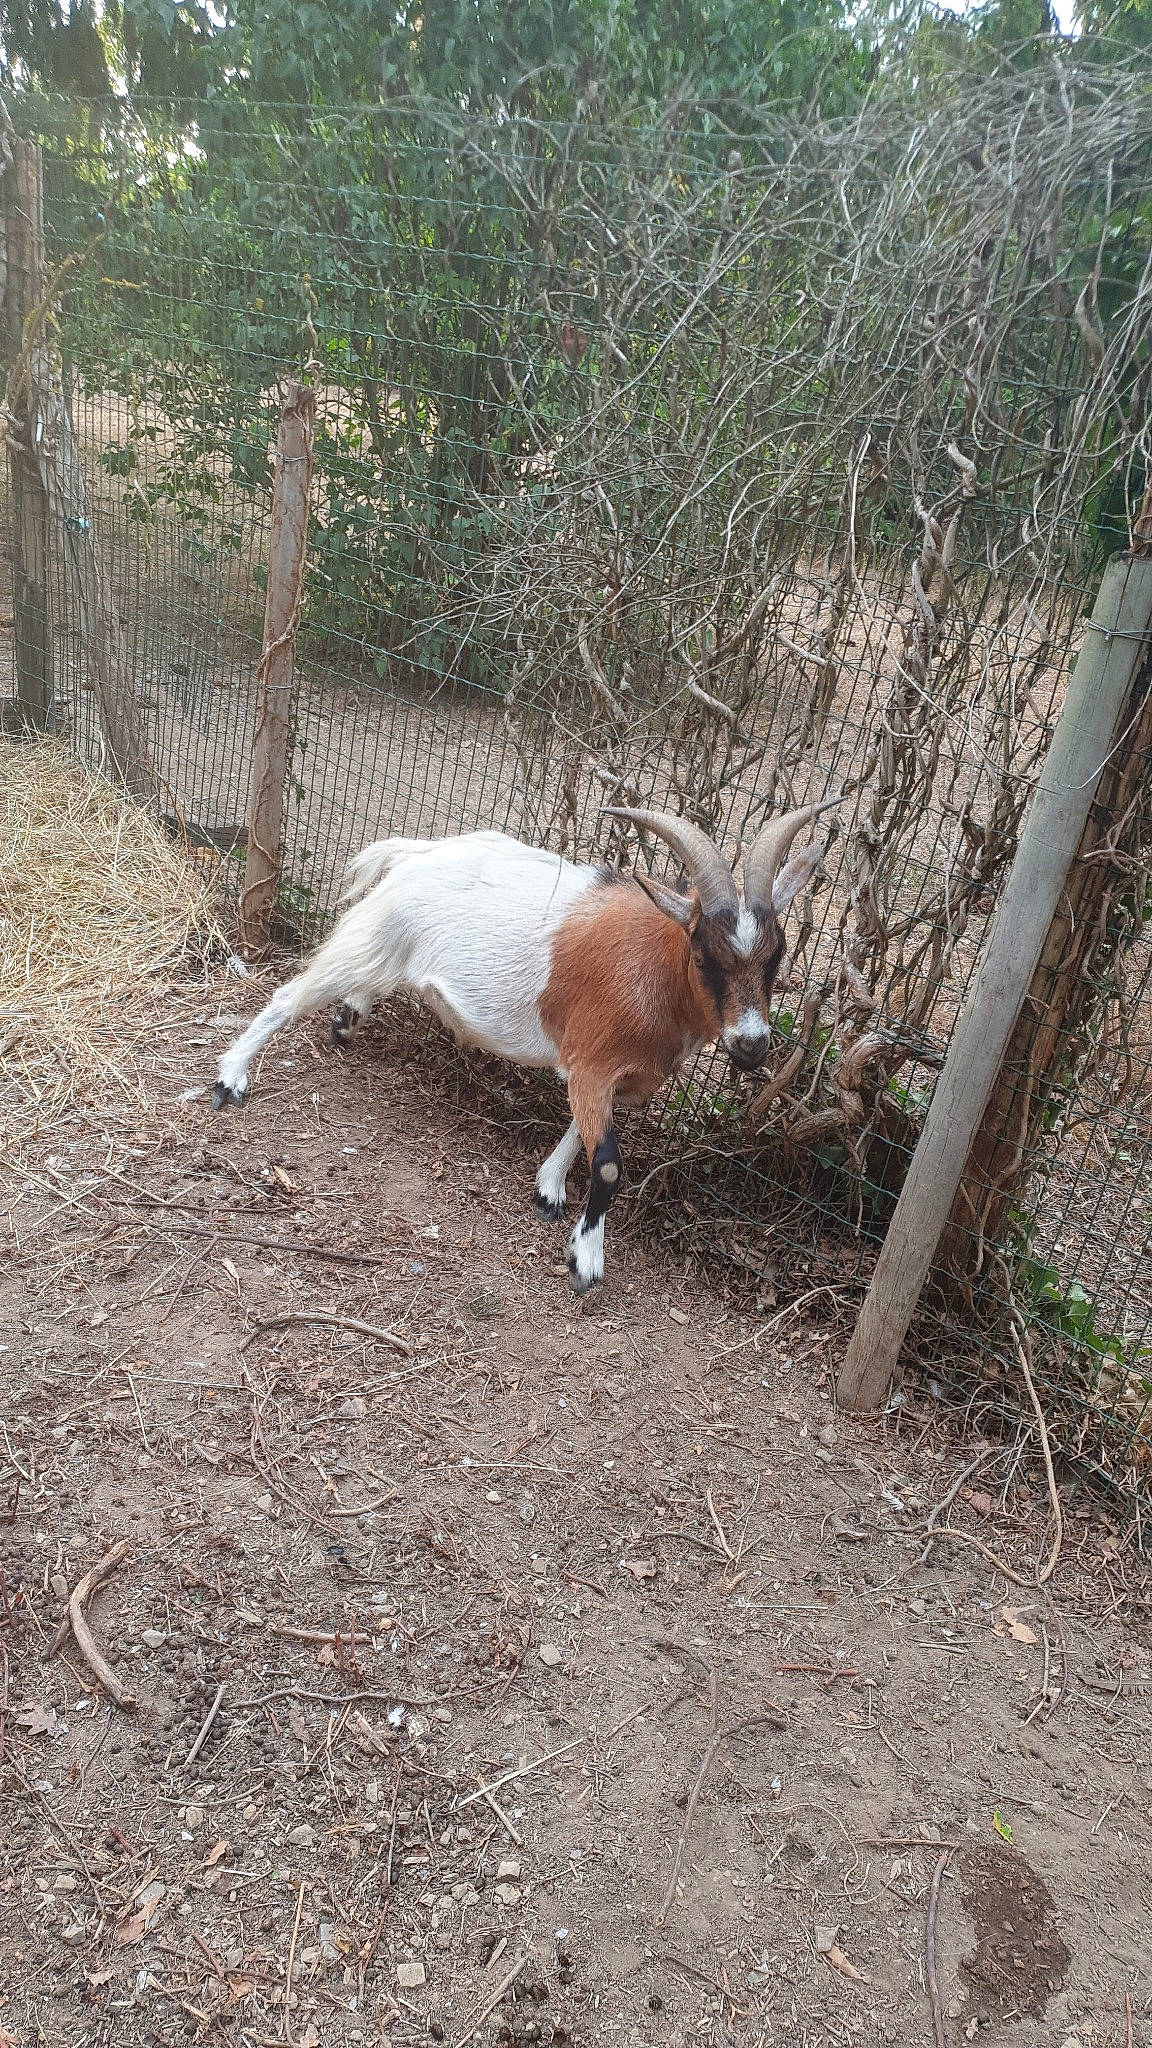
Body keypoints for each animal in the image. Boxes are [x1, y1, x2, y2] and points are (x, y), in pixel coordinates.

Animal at [212, 797, 841, 1293]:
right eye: (705, 957)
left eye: (778, 954)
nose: (753, 1045)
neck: (658, 964)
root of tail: (415, 855)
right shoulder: (593, 1063)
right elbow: (607, 1165)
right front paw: (585, 1259)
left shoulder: (618, 1077)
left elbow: (584, 1132)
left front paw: (549, 1190)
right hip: (373, 937)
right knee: (290, 994)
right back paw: (231, 1078)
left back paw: (347, 1018)